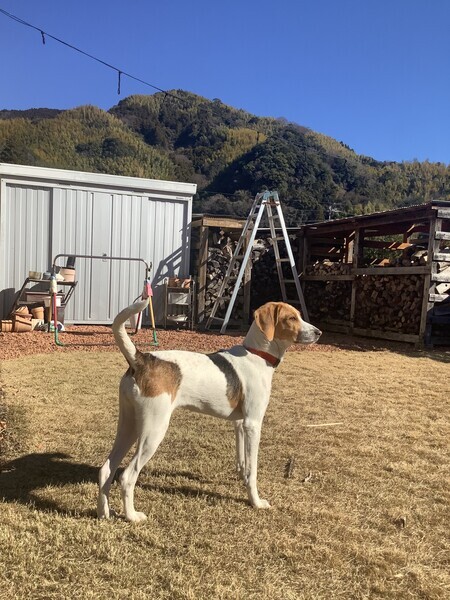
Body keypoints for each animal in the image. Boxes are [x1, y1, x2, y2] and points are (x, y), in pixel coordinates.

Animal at [97, 300, 321, 522]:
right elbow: (253, 470)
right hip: (153, 430)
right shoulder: (253, 424)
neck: (257, 355)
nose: (318, 332)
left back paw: (104, 513)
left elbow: (242, 462)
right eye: (291, 318)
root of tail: (141, 358)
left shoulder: (239, 424)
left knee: (106, 470)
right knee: (127, 476)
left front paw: (241, 479)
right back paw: (132, 516)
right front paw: (255, 502)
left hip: (129, 426)